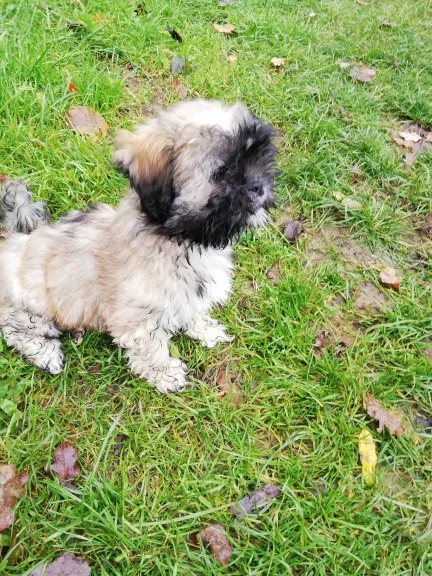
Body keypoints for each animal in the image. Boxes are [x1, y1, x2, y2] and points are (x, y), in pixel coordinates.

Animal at [0, 99, 276, 393]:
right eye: (222, 173)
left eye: (257, 155)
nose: (258, 186)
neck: (178, 238)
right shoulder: (140, 318)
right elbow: (151, 349)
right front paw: (167, 375)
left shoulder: (189, 293)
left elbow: (193, 311)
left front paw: (206, 329)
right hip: (30, 306)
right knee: (15, 328)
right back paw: (46, 352)